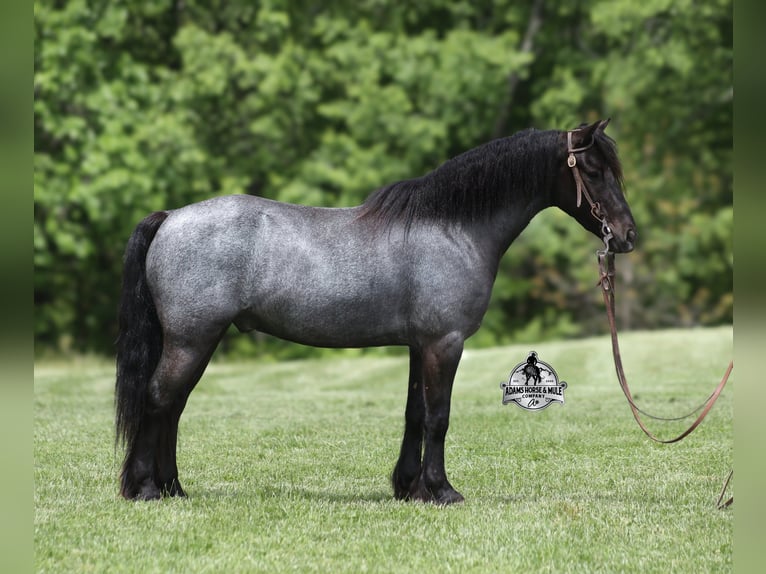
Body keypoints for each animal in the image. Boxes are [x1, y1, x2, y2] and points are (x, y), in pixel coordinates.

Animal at [115, 119, 636, 504]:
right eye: (592, 171)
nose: (628, 235)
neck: (453, 228)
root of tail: (170, 218)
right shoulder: (445, 343)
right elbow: (438, 416)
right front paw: (442, 491)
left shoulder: (419, 344)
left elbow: (414, 414)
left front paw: (409, 488)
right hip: (192, 338)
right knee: (159, 399)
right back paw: (145, 489)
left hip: (195, 340)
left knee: (173, 405)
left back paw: (173, 487)